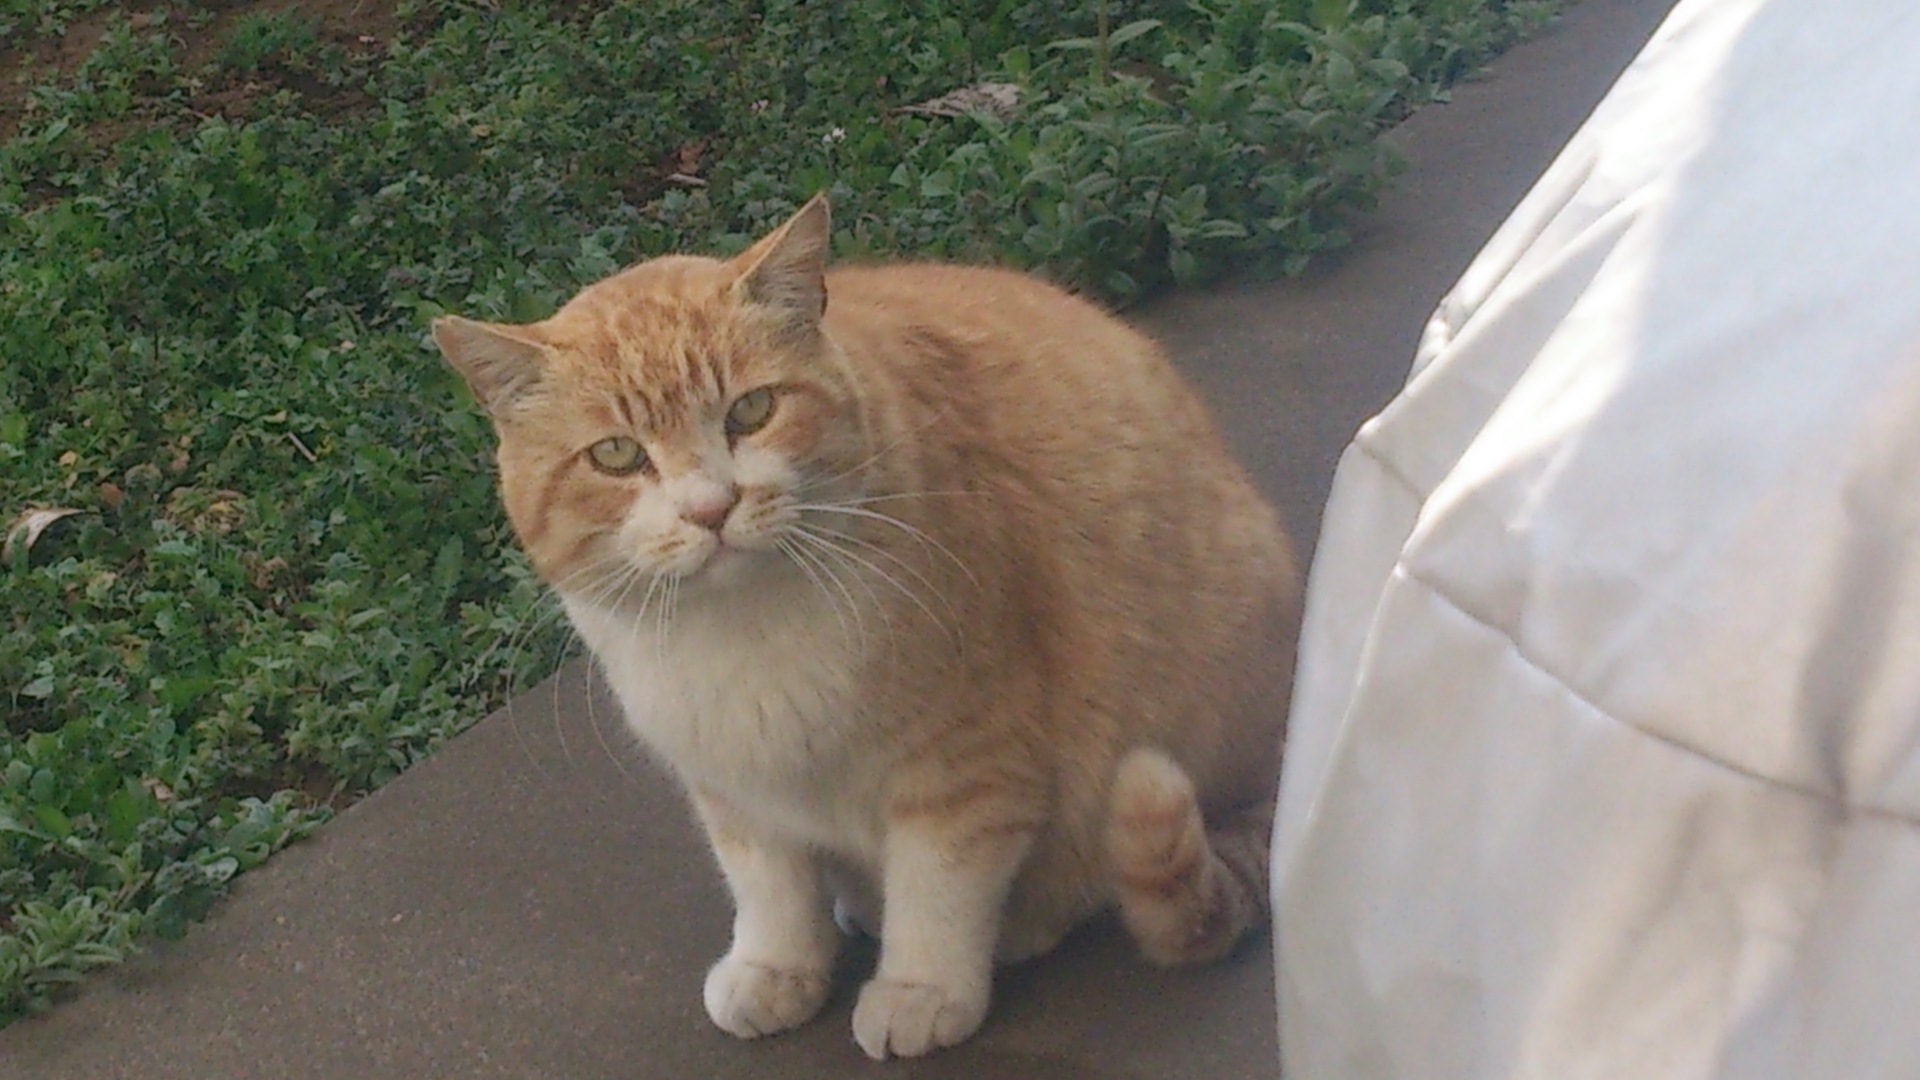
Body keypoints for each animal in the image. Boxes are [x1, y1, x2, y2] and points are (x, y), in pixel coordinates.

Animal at [433, 195, 1300, 1060]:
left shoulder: (968, 754)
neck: (744, 631)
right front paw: (778, 966)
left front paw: (921, 986)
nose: (711, 509)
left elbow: (939, 882)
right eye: (616, 455)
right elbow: (766, 885)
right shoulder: (732, 782)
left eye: (752, 411)